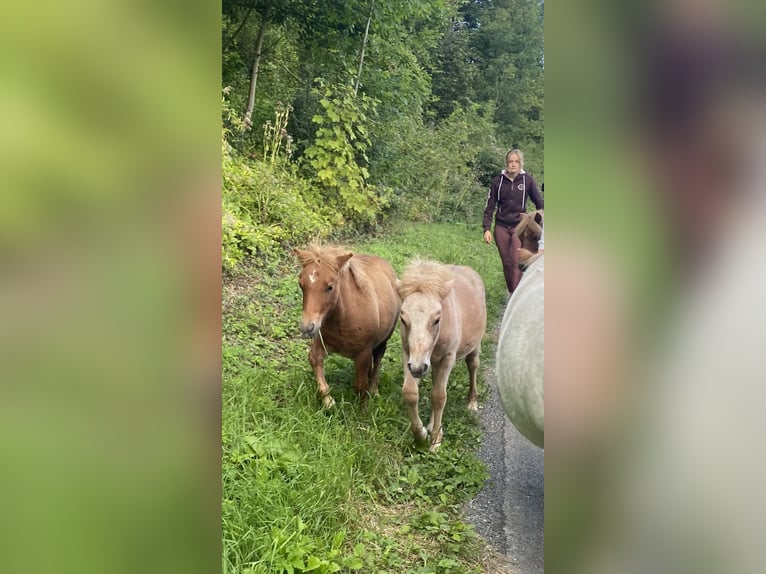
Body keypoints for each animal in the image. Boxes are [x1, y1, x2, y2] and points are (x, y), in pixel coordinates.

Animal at [294, 243, 402, 410]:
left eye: (330, 287)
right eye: (301, 284)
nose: (307, 328)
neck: (344, 319)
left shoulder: (364, 352)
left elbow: (361, 386)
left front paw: (362, 411)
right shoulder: (323, 343)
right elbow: (314, 360)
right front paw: (329, 402)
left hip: (382, 342)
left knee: (377, 361)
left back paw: (375, 391)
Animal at [400, 262, 488, 454]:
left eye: (437, 319)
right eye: (403, 319)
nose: (418, 368)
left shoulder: (447, 358)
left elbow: (439, 396)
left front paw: (435, 441)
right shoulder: (408, 354)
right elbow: (410, 392)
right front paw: (421, 434)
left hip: (474, 346)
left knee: (473, 366)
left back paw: (472, 402)